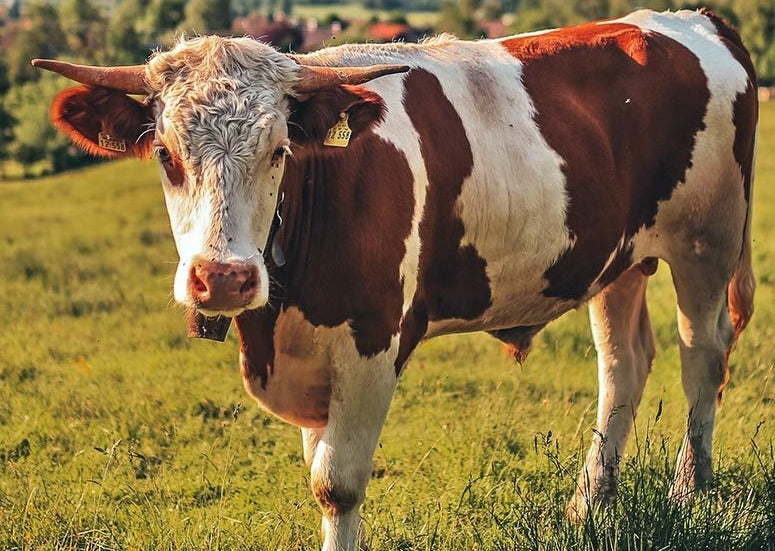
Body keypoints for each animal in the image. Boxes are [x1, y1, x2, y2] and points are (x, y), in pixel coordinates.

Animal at [34, 8, 756, 550]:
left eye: (278, 151)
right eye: (165, 154)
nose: (224, 277)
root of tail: (689, 19)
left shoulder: (372, 340)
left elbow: (337, 482)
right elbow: (318, 466)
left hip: (707, 239)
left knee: (701, 355)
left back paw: (689, 491)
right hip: (617, 260)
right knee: (623, 364)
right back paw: (590, 503)